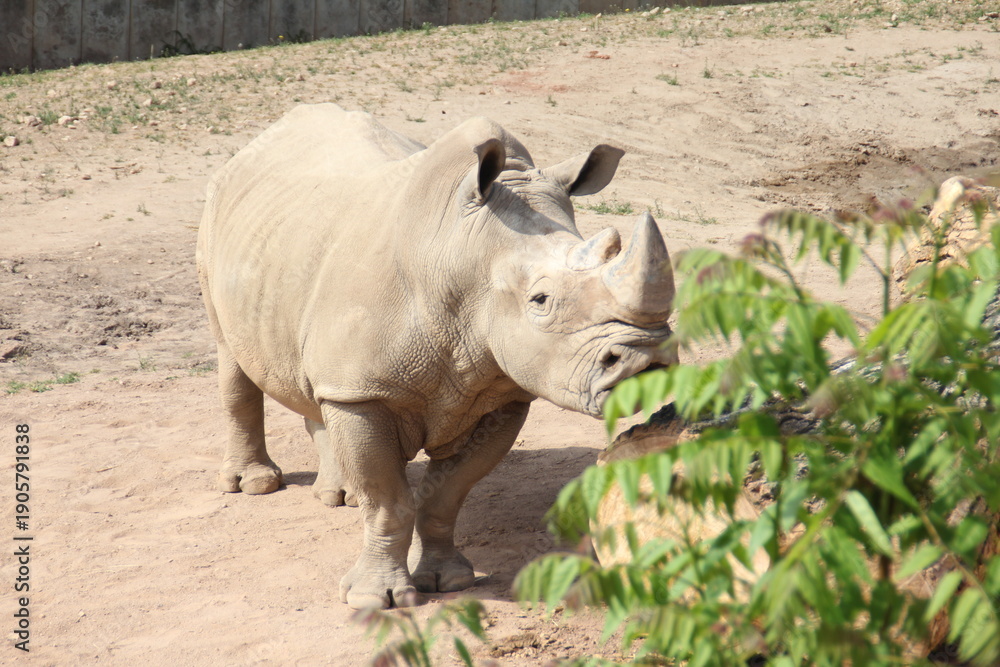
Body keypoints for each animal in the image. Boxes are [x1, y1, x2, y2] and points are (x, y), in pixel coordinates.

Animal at [196, 103, 677, 609]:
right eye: (540, 300)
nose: (646, 359)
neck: (465, 255)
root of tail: (260, 141)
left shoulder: (500, 395)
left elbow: (445, 495)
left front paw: (449, 582)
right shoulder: (365, 393)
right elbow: (388, 502)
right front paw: (377, 600)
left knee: (314, 382)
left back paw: (341, 495)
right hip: (216, 220)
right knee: (232, 358)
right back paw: (254, 485)